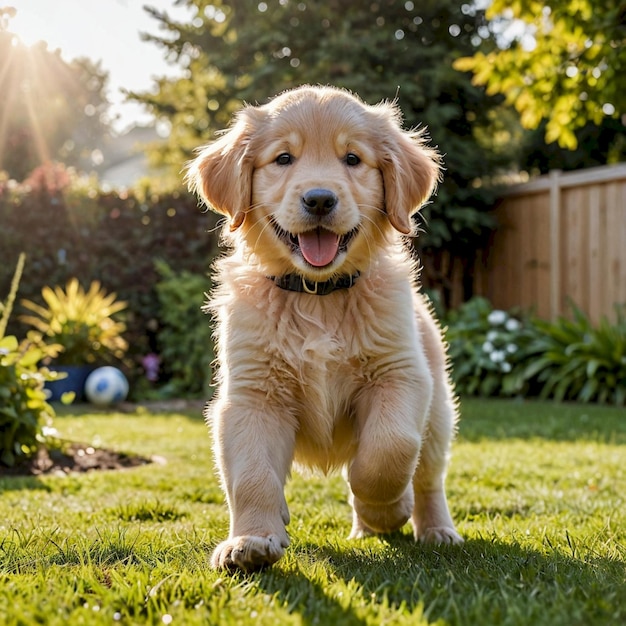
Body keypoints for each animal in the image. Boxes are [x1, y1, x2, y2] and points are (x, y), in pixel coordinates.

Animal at [185, 84, 464, 572]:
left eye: (352, 158)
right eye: (283, 158)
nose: (319, 199)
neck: (317, 295)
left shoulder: (401, 375)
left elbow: (388, 450)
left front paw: (385, 509)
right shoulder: (252, 397)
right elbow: (252, 475)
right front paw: (251, 541)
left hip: (439, 416)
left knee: (428, 477)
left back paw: (432, 528)